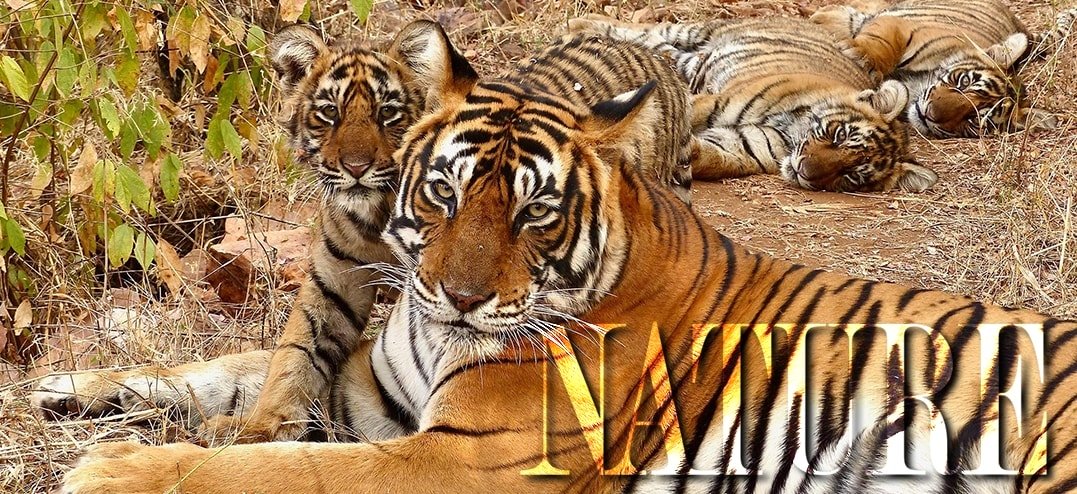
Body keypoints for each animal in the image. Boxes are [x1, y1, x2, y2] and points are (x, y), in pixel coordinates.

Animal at [31, 22, 695, 444]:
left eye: (386, 113)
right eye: (328, 113)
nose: (353, 166)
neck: (379, 220)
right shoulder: (335, 278)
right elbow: (292, 358)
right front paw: (261, 427)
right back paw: (60, 390)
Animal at [569, 15, 939, 193]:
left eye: (851, 175)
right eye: (838, 136)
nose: (804, 170)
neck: (791, 132)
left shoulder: (746, 145)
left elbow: (713, 156)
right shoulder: (713, 101)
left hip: (690, 60)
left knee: (663, 49)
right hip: (700, 31)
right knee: (649, 30)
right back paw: (579, 26)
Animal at [810, 0, 1076, 138]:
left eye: (974, 119)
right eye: (965, 82)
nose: (930, 115)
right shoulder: (902, 27)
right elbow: (882, 43)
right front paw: (857, 53)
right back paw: (820, 15)